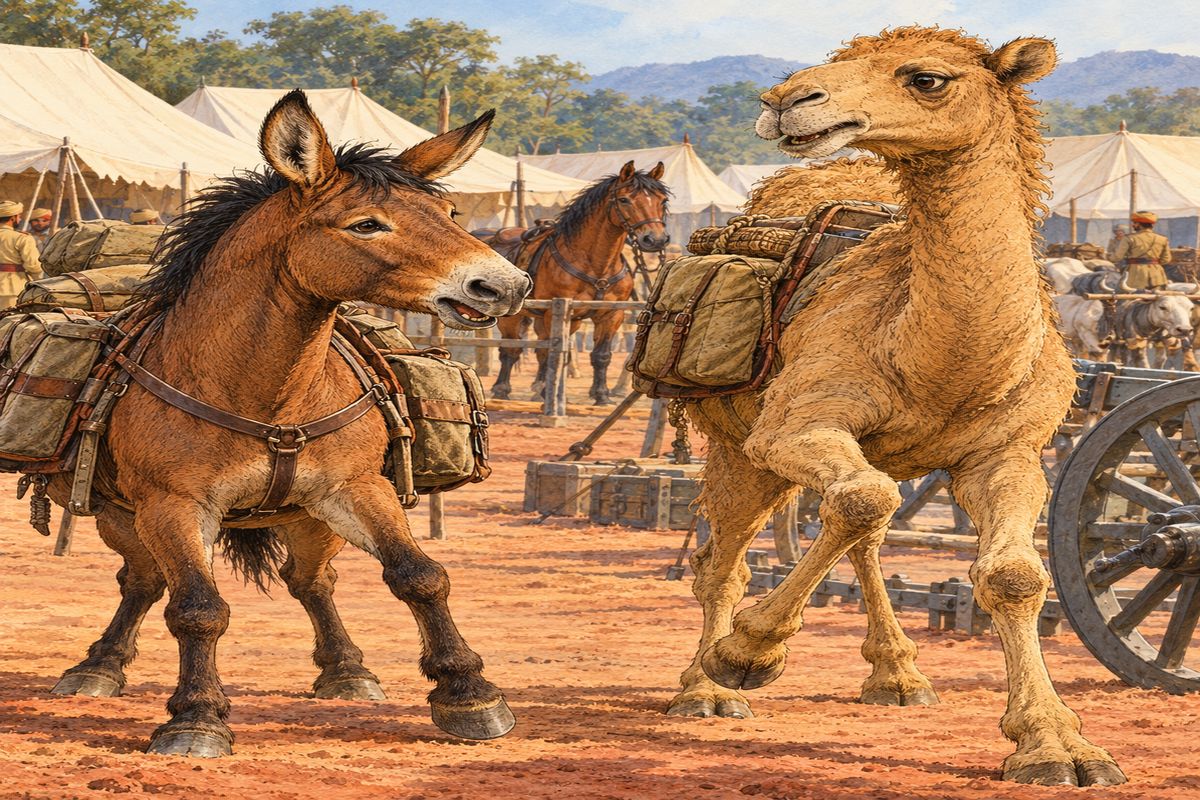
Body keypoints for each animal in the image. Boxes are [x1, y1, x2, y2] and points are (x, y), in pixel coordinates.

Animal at [666, 27, 1126, 786]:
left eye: (927, 78)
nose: (786, 99)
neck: (934, 360)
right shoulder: (789, 426)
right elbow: (863, 500)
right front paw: (747, 653)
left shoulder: (1008, 454)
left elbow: (1011, 574)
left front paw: (1058, 746)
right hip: (735, 443)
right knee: (726, 557)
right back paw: (706, 687)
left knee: (861, 527)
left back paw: (898, 675)